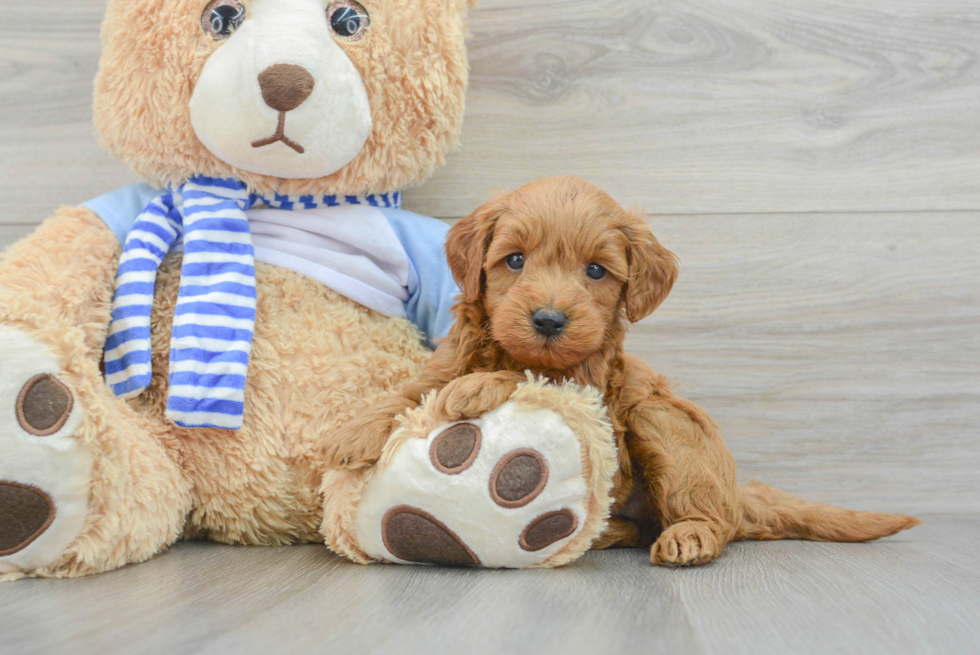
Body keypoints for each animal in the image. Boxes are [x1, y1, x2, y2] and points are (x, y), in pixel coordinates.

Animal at [328, 177, 920, 568]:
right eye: (514, 260)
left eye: (595, 270)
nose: (548, 320)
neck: (520, 353)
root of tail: (736, 492)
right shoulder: (450, 356)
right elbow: (414, 388)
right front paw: (350, 432)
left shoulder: (592, 396)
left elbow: (530, 380)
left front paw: (476, 387)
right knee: (638, 529)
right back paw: (607, 533)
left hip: (666, 425)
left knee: (713, 520)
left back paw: (688, 537)